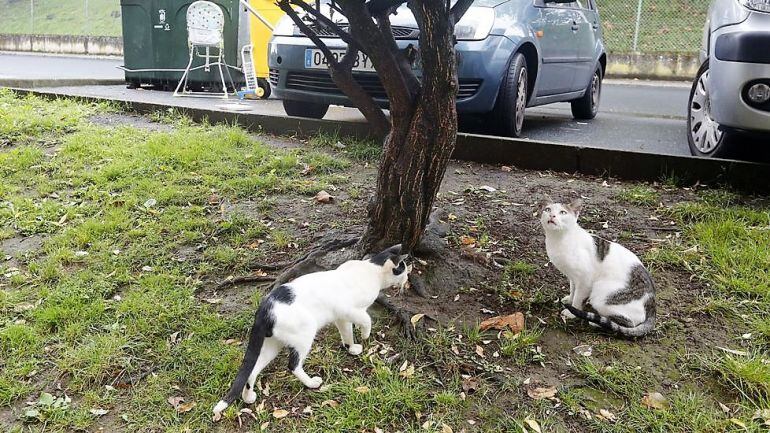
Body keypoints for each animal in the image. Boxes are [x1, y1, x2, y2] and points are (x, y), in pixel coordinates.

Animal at [213, 243, 412, 416]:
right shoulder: (350, 310)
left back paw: (248, 397)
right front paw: (365, 335)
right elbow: (367, 320)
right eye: (403, 268)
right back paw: (311, 383)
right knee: (293, 365)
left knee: (252, 370)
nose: (408, 278)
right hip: (305, 334)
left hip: (272, 345)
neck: (372, 270)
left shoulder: (341, 317)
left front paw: (351, 348)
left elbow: (346, 333)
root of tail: (264, 308)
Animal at [540, 197, 656, 336]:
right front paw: (569, 299)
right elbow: (573, 290)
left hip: (601, 294)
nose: (552, 215)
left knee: (628, 323)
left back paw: (596, 322)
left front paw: (572, 312)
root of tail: (652, 305)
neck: (558, 240)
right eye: (548, 209)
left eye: (563, 212)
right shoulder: (573, 277)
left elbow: (578, 298)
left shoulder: (585, 280)